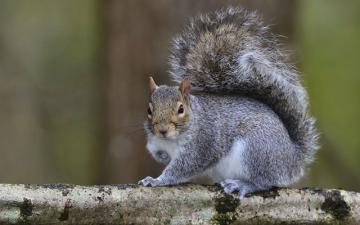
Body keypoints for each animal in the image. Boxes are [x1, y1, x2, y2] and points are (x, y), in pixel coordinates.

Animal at [138, 7, 318, 199]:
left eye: (181, 109)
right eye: (149, 110)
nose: (162, 130)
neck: (171, 140)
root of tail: (292, 159)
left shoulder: (202, 145)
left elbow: (183, 168)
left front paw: (157, 180)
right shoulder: (155, 142)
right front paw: (162, 157)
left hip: (255, 151)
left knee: (263, 182)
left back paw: (242, 185)